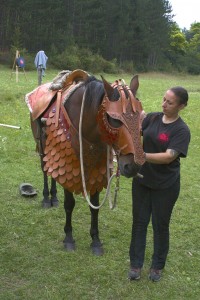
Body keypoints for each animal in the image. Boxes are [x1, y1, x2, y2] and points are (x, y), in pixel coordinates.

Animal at [26, 71, 145, 255]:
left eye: (141, 116)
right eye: (114, 119)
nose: (133, 166)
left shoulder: (97, 170)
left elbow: (94, 206)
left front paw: (95, 240)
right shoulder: (67, 164)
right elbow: (69, 204)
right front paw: (69, 238)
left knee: (52, 173)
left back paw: (54, 197)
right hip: (43, 148)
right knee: (45, 171)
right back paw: (47, 198)